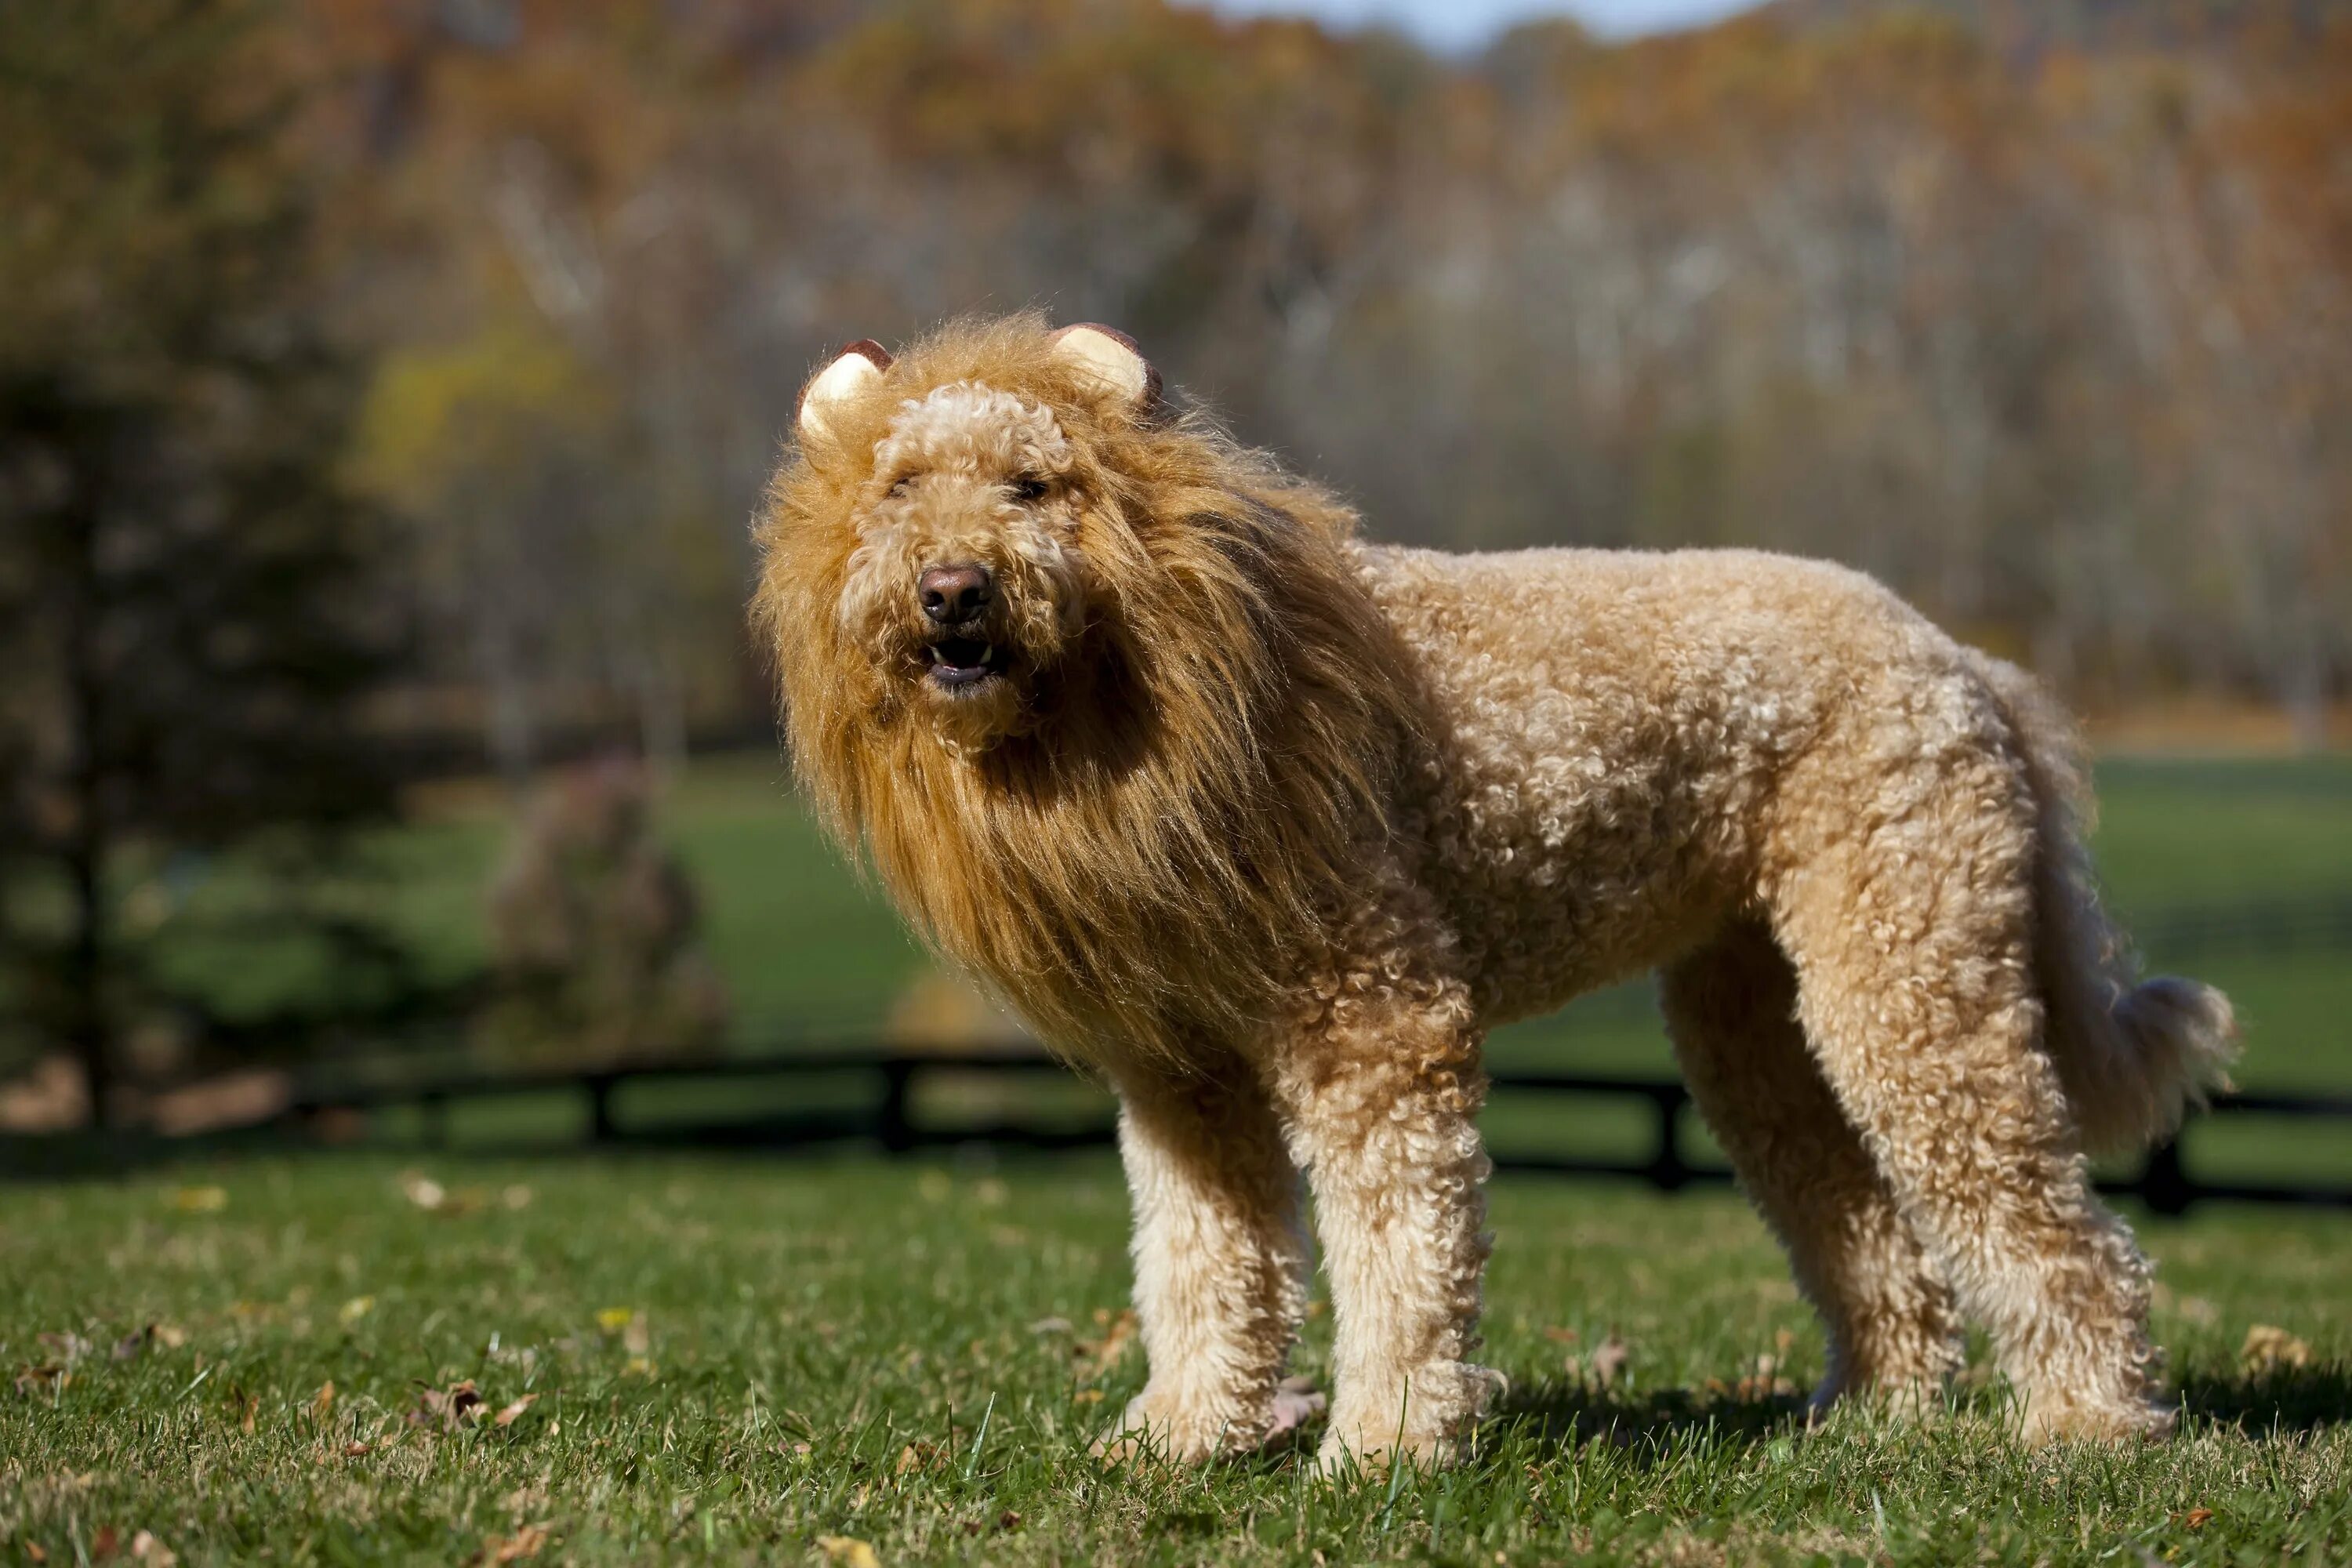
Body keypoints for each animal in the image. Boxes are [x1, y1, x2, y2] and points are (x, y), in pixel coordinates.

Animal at [757, 310, 2239, 1476]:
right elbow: (1201, 1263)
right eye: (899, 486)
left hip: (1915, 976)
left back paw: (2088, 1427)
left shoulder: (1377, 1024)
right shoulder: (1185, 1076)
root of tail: (1963, 664)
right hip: (1759, 1024)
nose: (953, 593)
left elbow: (1398, 1257)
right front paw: (1185, 1436)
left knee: (2055, 1229)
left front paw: (1382, 1452)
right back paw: (1878, 1420)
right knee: (1873, 1234)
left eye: (1035, 484)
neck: (1167, 668)